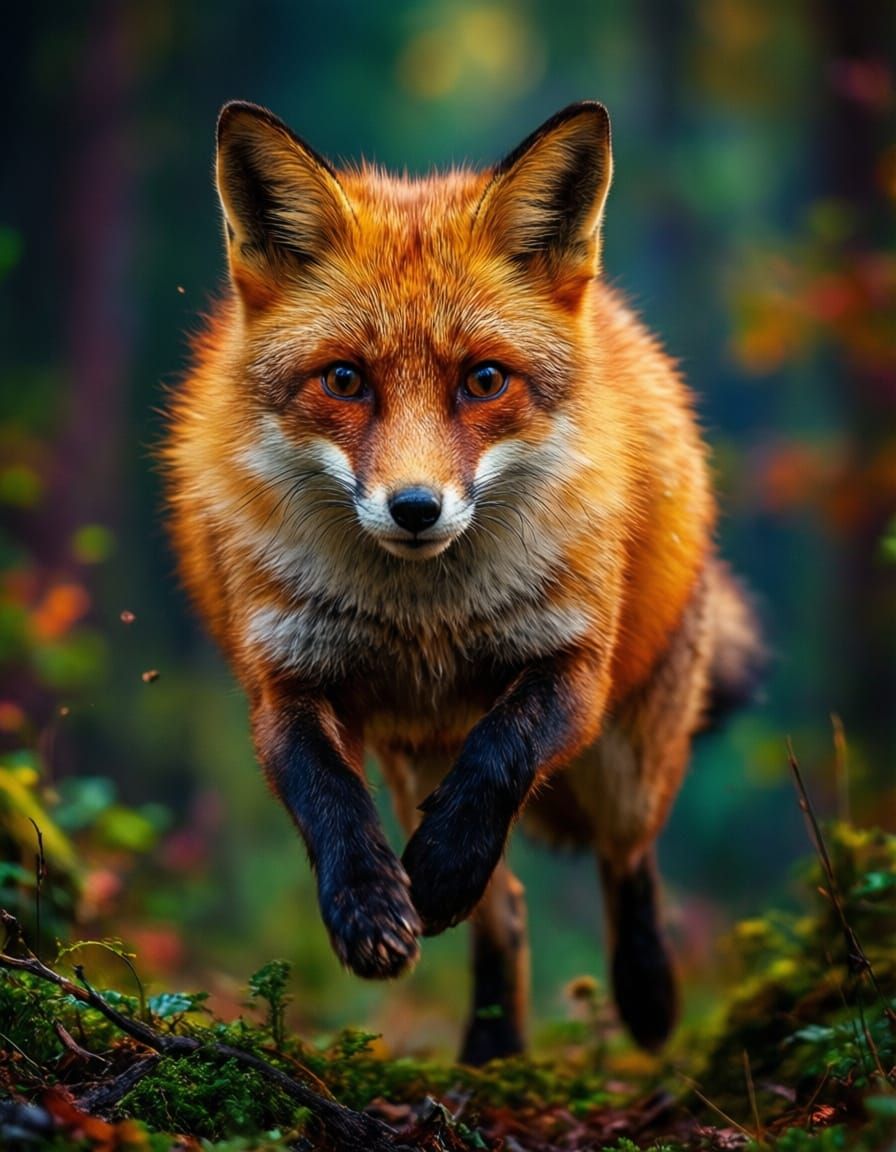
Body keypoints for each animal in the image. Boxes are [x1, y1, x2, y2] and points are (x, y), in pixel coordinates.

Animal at [164, 100, 762, 1065]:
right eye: (344, 379)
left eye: (483, 380)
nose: (415, 508)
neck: (426, 619)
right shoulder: (284, 678)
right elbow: (328, 797)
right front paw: (369, 907)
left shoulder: (572, 665)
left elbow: (501, 757)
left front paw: (439, 871)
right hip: (415, 754)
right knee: (509, 908)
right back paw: (491, 1052)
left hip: (629, 759)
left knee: (628, 858)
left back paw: (646, 996)